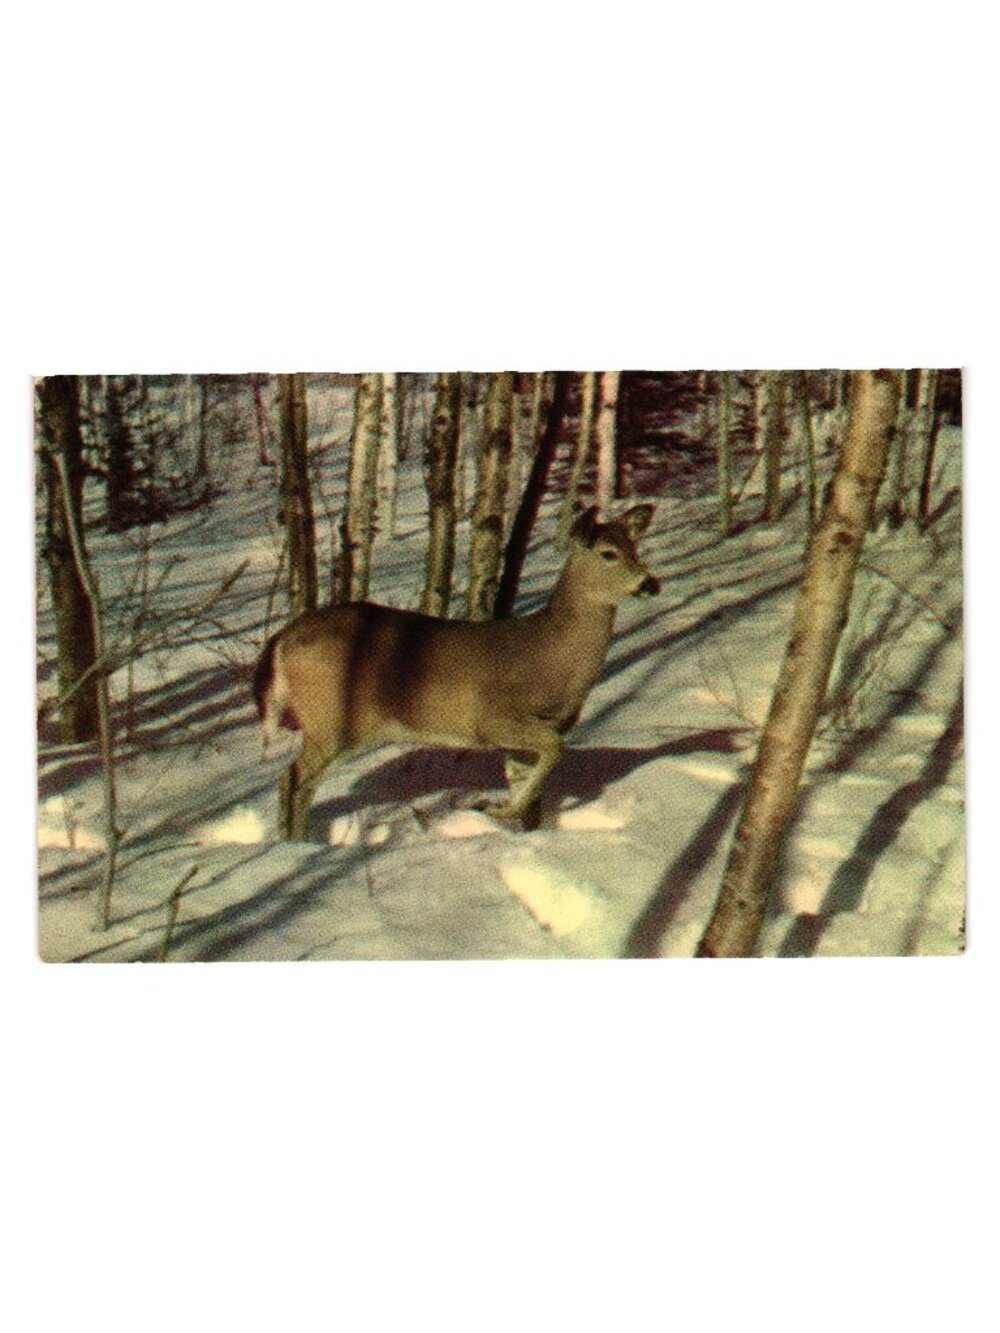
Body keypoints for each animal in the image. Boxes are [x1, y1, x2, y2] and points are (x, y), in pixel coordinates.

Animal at [253, 503, 660, 838]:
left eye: (635, 548)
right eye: (608, 554)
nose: (650, 583)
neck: (552, 659)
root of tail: (283, 639)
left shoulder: (524, 737)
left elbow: (530, 783)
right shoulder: (494, 717)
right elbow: (554, 750)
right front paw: (491, 807)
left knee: (293, 779)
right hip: (332, 719)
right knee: (295, 777)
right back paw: (298, 846)